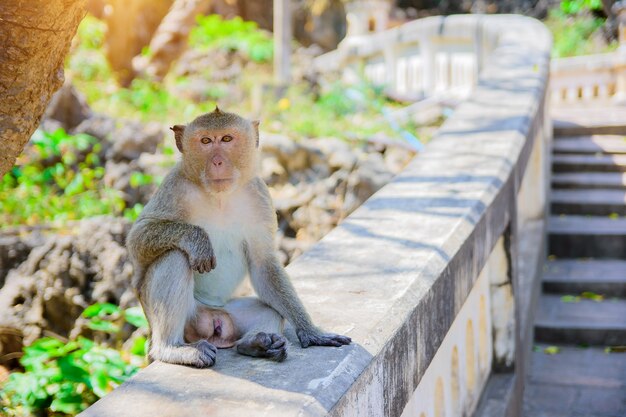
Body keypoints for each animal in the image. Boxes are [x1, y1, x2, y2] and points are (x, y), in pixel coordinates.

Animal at [125, 108, 352, 368]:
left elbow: (263, 264)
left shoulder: (259, 195)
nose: (217, 161)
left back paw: (256, 344)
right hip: (184, 318)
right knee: (175, 258)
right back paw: (172, 349)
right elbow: (137, 238)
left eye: (226, 139)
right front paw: (197, 239)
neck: (221, 197)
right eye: (205, 141)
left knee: (269, 311)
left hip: (227, 313)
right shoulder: (175, 186)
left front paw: (311, 332)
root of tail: (211, 323)